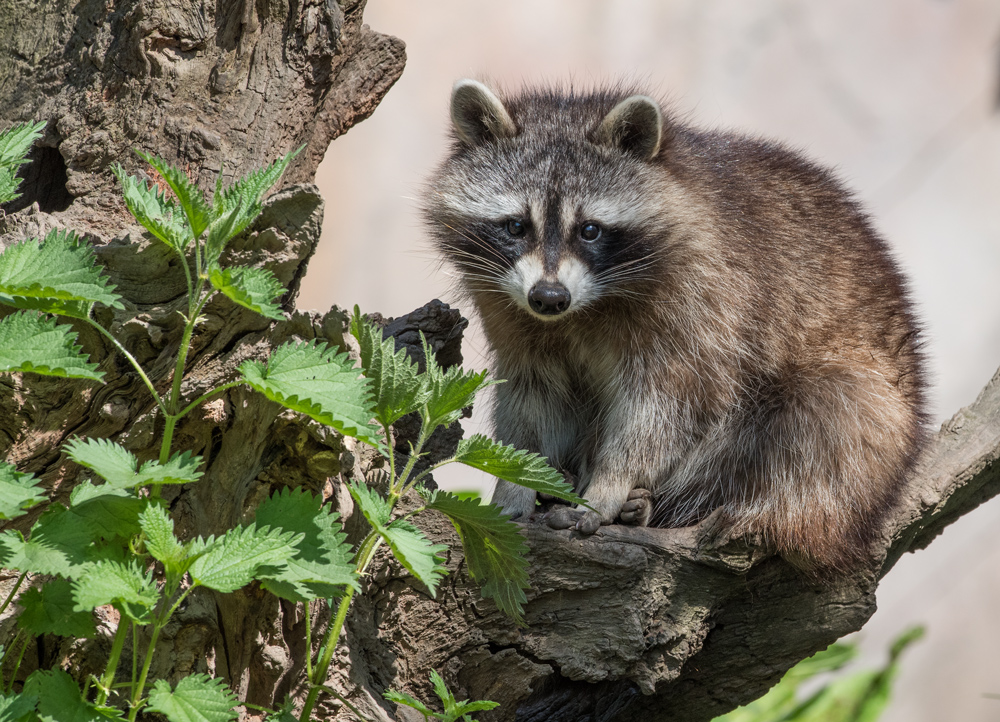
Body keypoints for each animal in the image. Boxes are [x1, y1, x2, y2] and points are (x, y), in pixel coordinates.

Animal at [424, 79, 928, 572]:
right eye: (515, 226)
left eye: (590, 230)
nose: (549, 298)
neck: (583, 308)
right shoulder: (511, 313)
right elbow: (531, 399)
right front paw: (517, 482)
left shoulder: (704, 301)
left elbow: (665, 404)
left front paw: (610, 483)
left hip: (866, 433)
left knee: (822, 425)